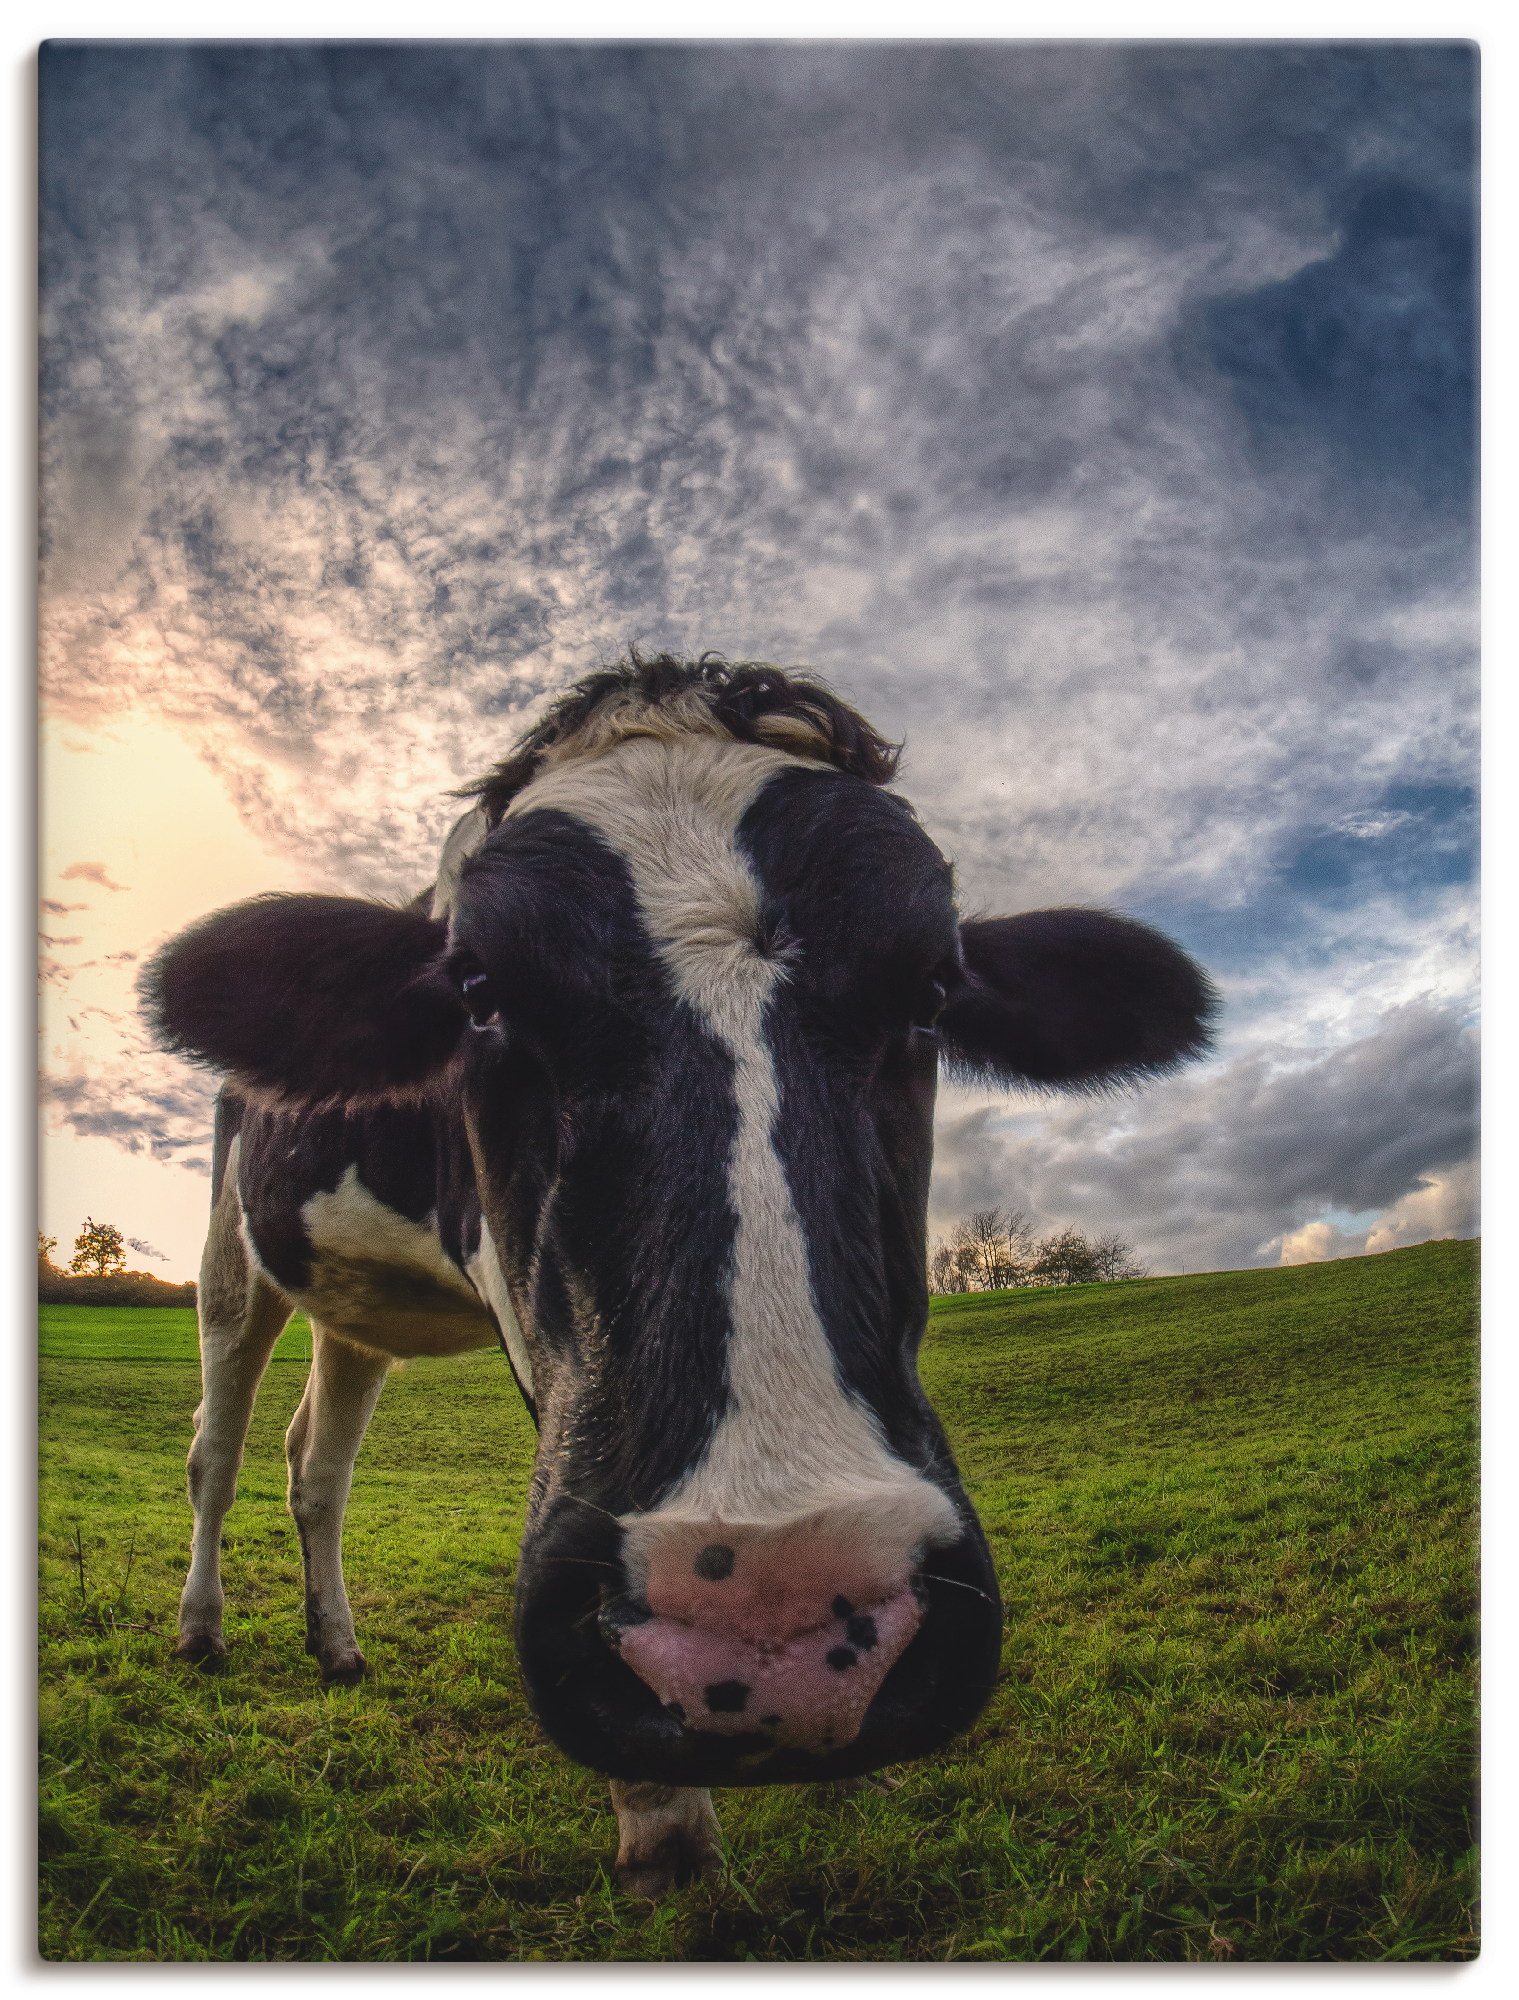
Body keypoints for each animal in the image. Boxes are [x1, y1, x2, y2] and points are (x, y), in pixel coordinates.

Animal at [141, 656, 1207, 1888]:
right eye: (479, 990)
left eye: (934, 991)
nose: (773, 1621)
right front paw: (661, 1821)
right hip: (231, 1262)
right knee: (214, 1451)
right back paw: (201, 1626)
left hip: (357, 1306)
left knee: (316, 1464)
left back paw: (337, 1645)